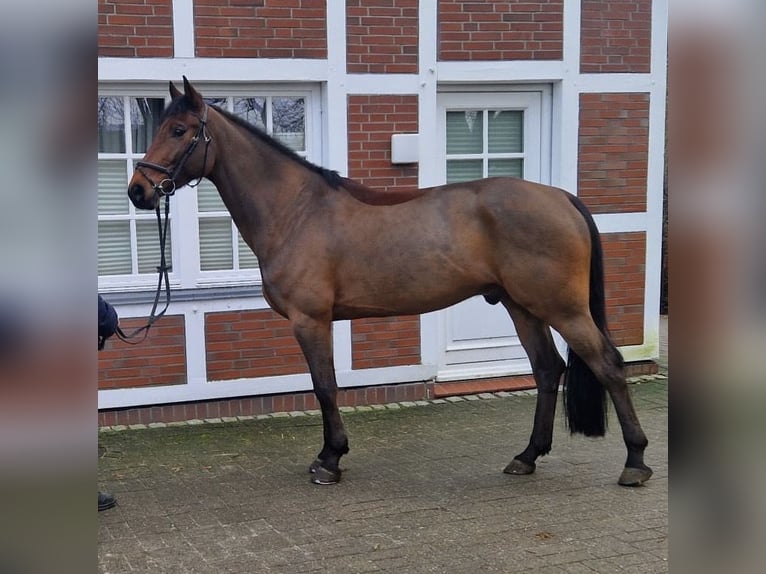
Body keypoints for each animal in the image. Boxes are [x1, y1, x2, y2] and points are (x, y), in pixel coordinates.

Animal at [127, 77, 656, 490]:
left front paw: (330, 460)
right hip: (522, 307)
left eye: (179, 130)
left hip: (563, 309)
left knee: (609, 366)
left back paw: (635, 461)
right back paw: (526, 457)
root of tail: (563, 197)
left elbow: (325, 386)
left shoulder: (310, 320)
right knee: (547, 370)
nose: (138, 190)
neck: (297, 211)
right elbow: (326, 385)